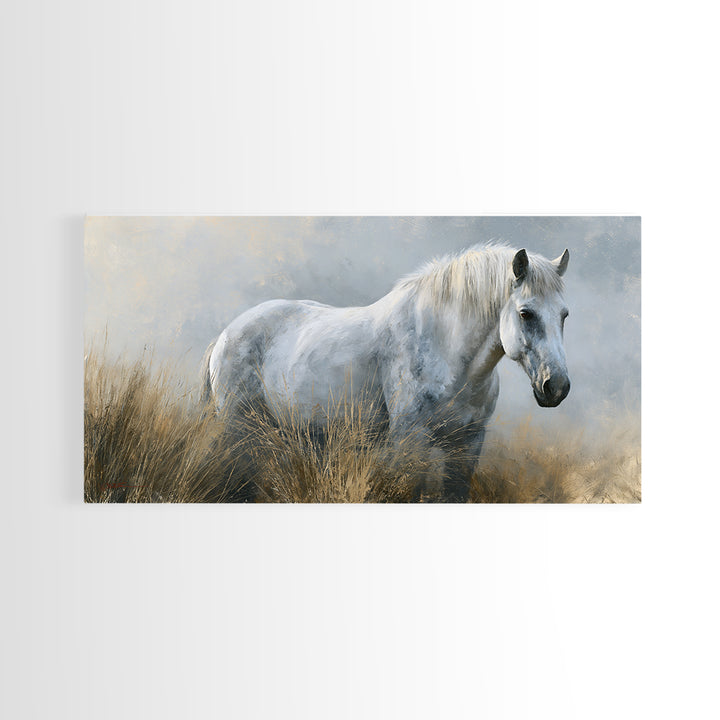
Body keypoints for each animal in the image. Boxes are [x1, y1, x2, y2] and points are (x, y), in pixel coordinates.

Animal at [201, 244, 571, 501]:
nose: (557, 387)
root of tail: (225, 335)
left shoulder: (467, 443)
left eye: (564, 314)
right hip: (240, 429)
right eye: (526, 313)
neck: (446, 349)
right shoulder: (410, 440)